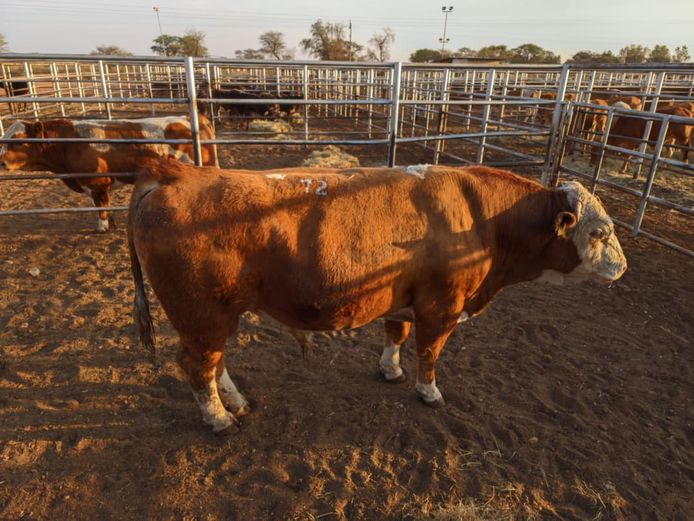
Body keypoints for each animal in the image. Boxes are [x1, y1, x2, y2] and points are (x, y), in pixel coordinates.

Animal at [0, 115, 218, 231]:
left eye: (18, 141)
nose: (1, 161)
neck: (68, 144)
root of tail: (193, 118)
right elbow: (100, 205)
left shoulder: (97, 183)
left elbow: (100, 206)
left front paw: (102, 227)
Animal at [127, 159, 627, 434]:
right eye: (599, 233)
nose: (622, 268)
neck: (483, 217)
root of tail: (176, 175)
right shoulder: (442, 306)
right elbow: (429, 351)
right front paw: (429, 391)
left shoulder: (404, 297)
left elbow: (396, 333)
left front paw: (390, 369)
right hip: (202, 316)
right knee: (197, 365)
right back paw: (219, 419)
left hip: (214, 318)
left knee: (214, 363)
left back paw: (235, 402)